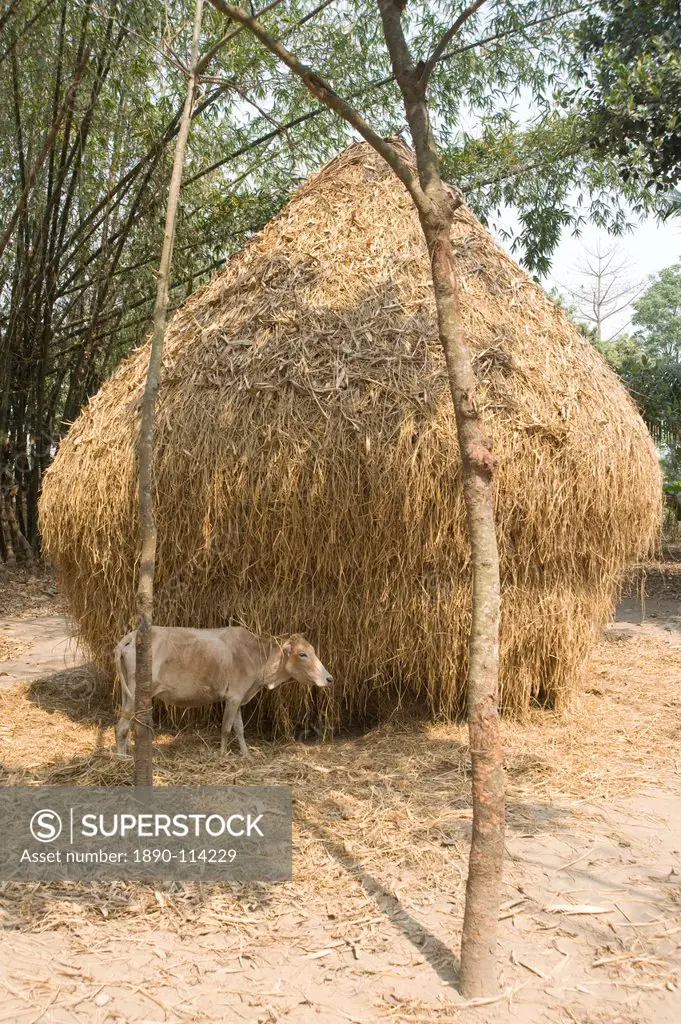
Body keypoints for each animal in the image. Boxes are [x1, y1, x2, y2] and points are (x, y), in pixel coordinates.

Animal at [112, 622, 333, 761]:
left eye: (313, 651)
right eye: (302, 654)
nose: (329, 678)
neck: (256, 656)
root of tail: (132, 635)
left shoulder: (240, 697)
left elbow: (240, 728)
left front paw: (246, 754)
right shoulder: (233, 697)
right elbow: (227, 728)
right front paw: (222, 754)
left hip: (126, 693)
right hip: (135, 692)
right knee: (121, 727)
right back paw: (122, 759)